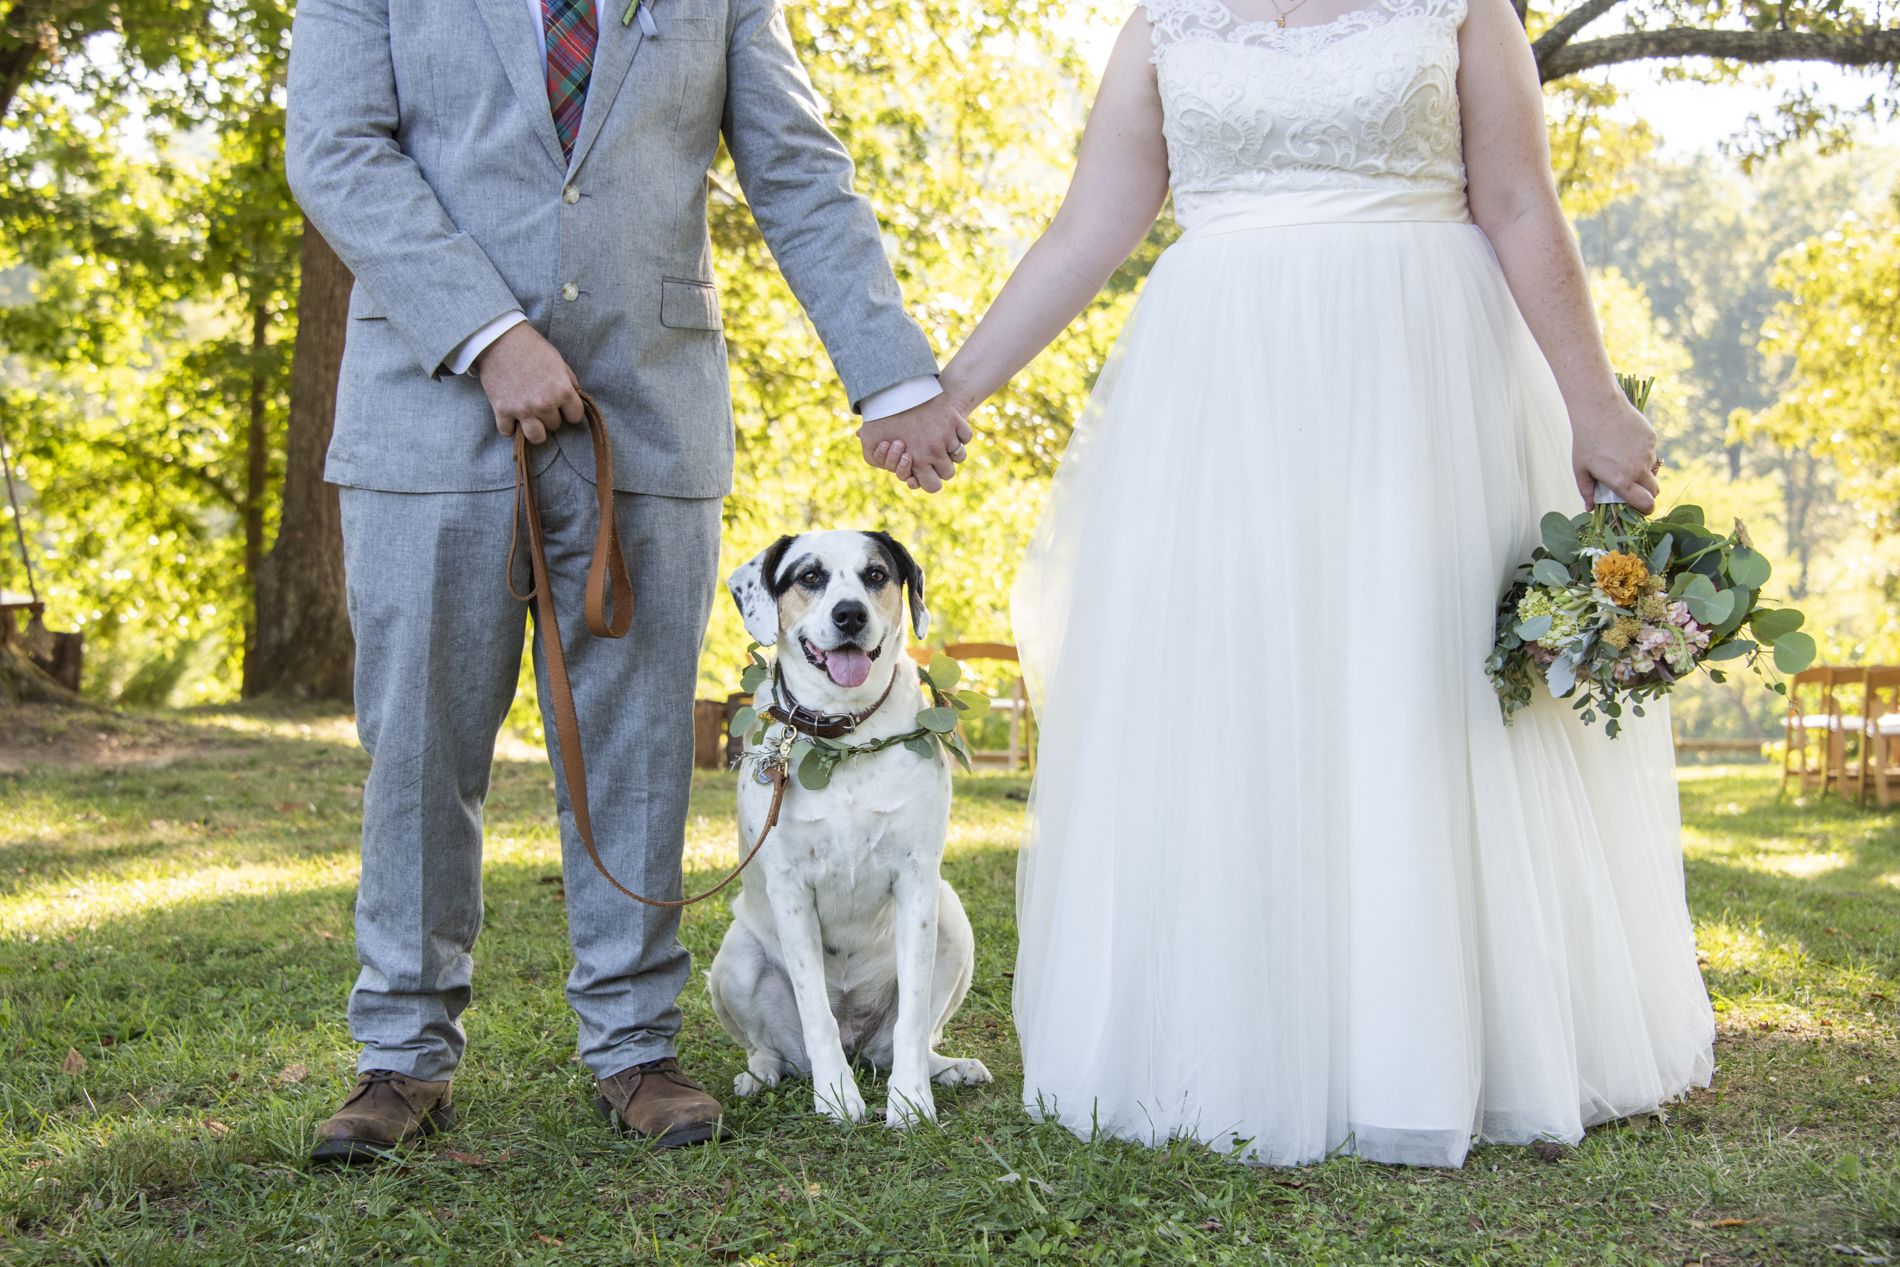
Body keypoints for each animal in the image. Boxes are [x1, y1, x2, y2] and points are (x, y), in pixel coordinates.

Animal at [714, 531, 995, 1124]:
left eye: (876, 576)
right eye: (810, 577)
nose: (850, 614)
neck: (844, 737)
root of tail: (857, 1042)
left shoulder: (917, 880)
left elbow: (913, 1016)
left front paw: (911, 1100)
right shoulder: (790, 888)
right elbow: (815, 1008)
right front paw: (836, 1096)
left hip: (952, 920)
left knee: (904, 1039)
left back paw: (945, 1068)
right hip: (734, 957)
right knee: (770, 1047)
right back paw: (760, 1075)